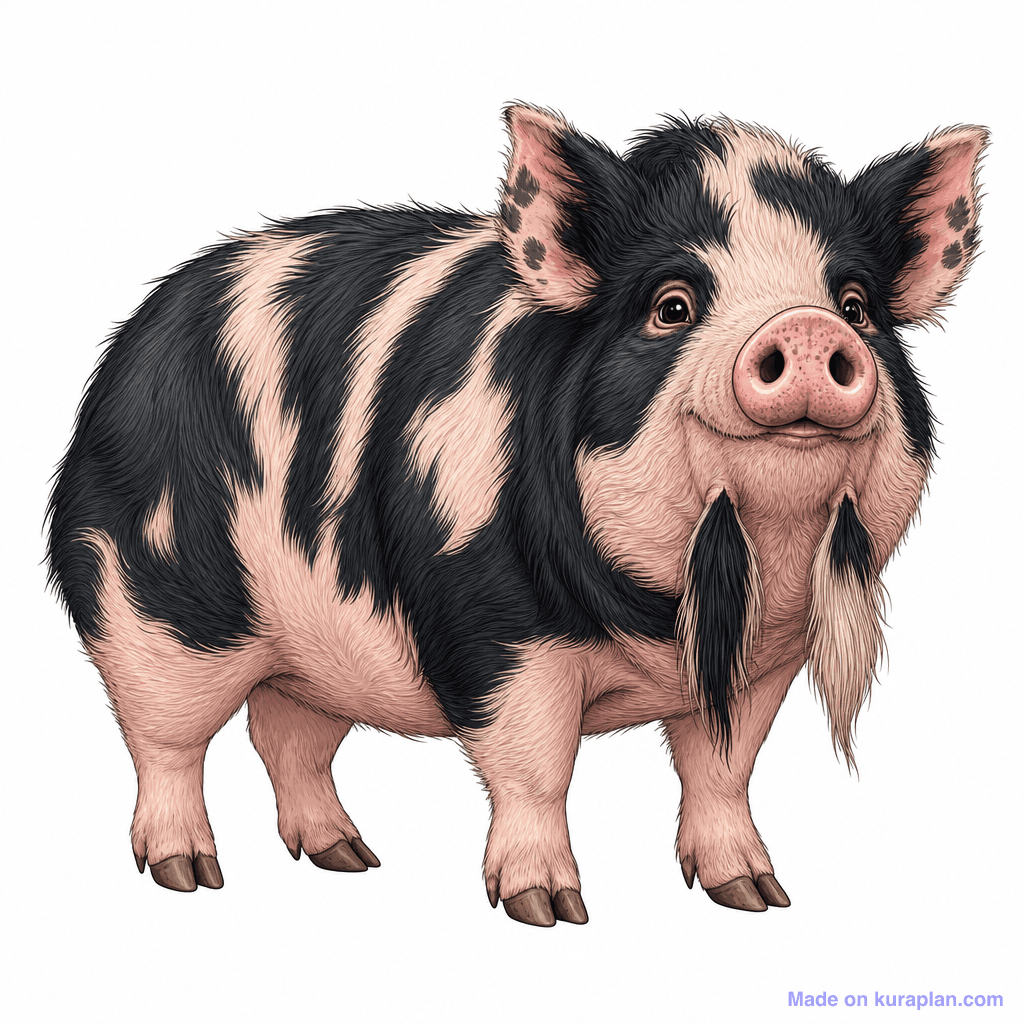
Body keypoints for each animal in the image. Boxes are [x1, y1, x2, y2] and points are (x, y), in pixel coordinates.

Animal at [47, 104, 987, 926]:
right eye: (672, 305)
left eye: (857, 305)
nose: (807, 329)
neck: (668, 618)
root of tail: (129, 346)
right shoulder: (496, 630)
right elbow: (535, 768)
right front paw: (549, 911)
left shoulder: (763, 660)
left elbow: (723, 768)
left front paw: (757, 897)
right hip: (150, 604)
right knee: (165, 740)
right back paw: (189, 874)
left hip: (316, 647)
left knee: (286, 734)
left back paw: (348, 856)